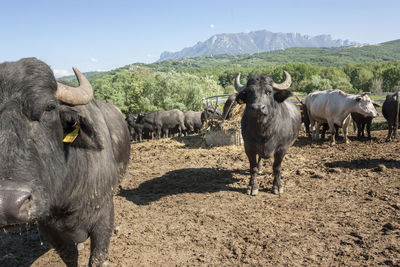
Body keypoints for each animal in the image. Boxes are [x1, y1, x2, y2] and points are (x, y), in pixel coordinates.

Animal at [0, 58, 130, 266]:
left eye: (50, 107)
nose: (7, 203)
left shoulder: (103, 214)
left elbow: (98, 257)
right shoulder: (48, 228)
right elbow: (69, 255)